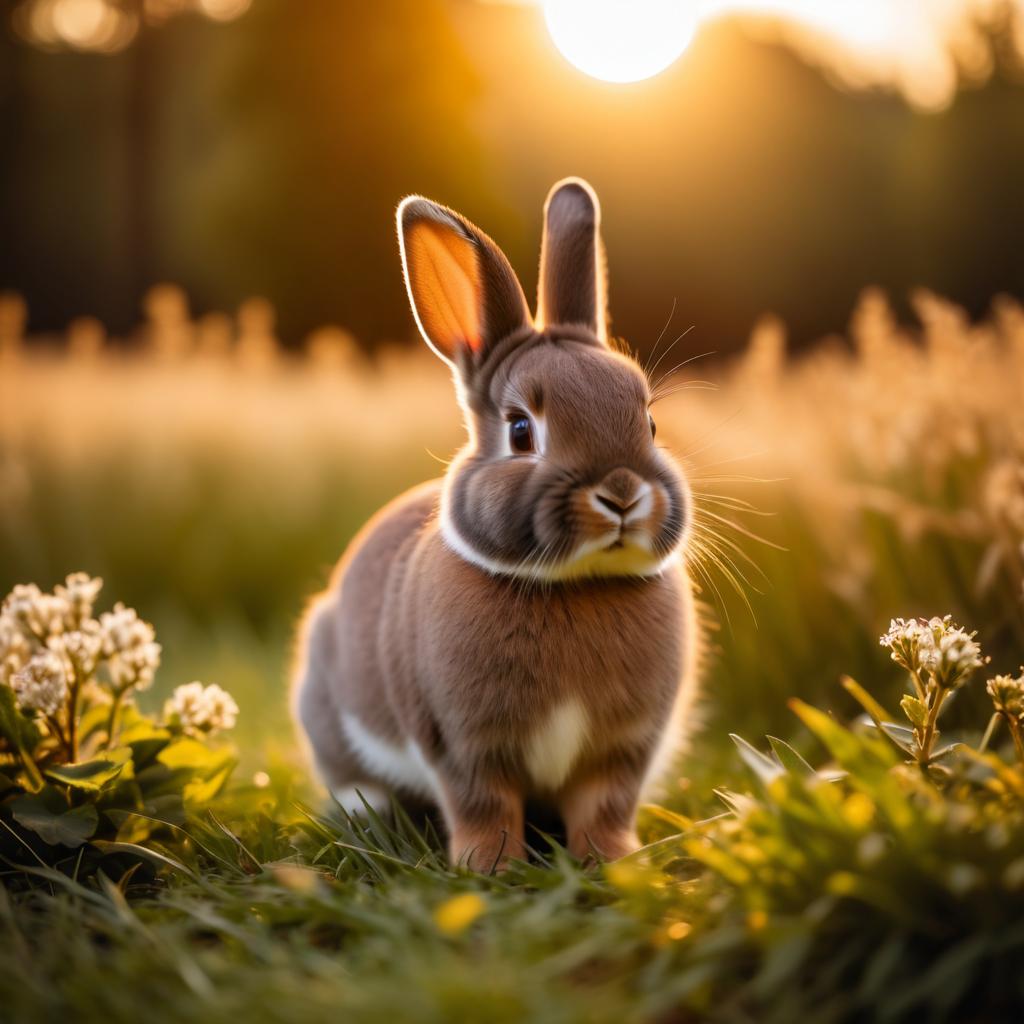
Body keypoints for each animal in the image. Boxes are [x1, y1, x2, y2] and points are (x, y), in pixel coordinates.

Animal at [292, 178, 700, 872]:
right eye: (520, 431)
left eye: (648, 422)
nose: (621, 493)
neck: (574, 585)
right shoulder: (461, 743)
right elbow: (483, 806)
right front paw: (488, 867)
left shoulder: (623, 750)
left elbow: (605, 808)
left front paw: (616, 864)